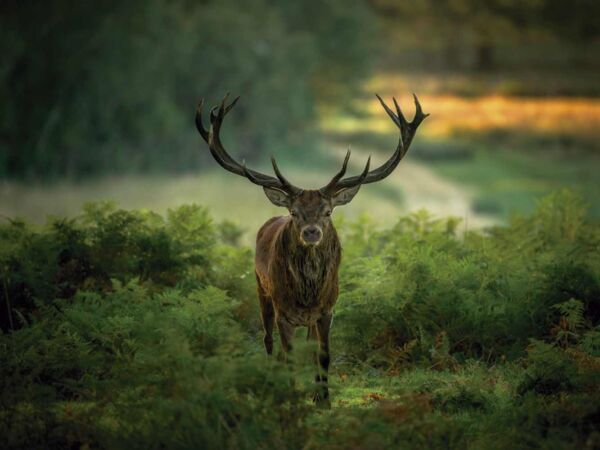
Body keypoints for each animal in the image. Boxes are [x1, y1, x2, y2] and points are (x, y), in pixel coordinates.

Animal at [196, 91, 426, 404]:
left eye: (327, 211)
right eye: (294, 212)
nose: (312, 231)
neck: (307, 294)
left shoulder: (328, 309)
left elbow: (323, 355)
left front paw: (323, 398)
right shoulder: (283, 312)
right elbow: (288, 356)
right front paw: (292, 395)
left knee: (308, 347)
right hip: (261, 291)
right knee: (269, 342)